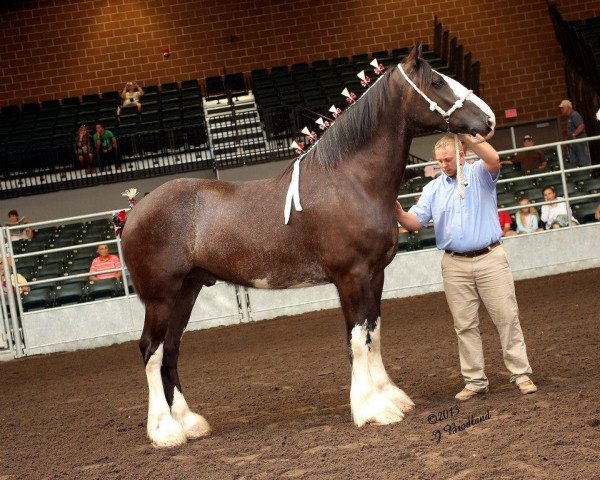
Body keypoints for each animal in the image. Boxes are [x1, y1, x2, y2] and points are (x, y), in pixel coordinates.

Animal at [119, 43, 494, 448]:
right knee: (151, 351)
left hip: (186, 291)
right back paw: (165, 431)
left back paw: (188, 423)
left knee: (170, 350)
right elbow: (357, 339)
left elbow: (374, 333)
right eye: (438, 82)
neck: (351, 181)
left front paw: (391, 397)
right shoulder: (351, 277)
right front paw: (372, 410)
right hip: (161, 297)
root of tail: (135, 211)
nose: (488, 119)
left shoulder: (375, 275)